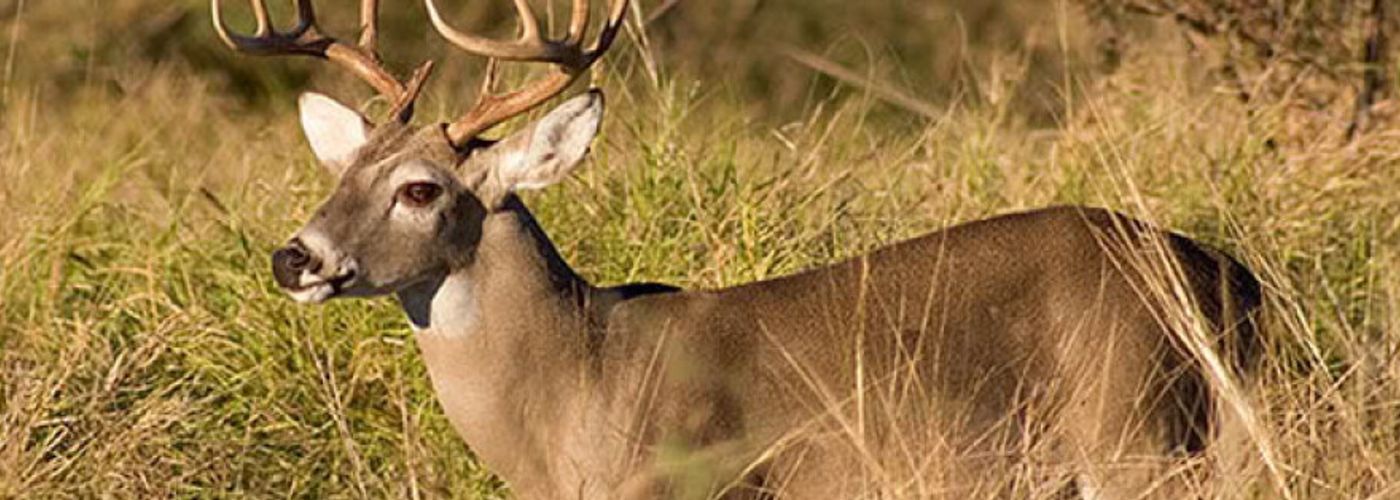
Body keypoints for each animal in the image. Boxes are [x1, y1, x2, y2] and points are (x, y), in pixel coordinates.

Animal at [212, 0, 1262, 498]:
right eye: (342, 170)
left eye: (421, 188)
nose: (294, 257)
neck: (582, 383)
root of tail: (1226, 272)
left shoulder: (703, 485)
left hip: (1136, 431)